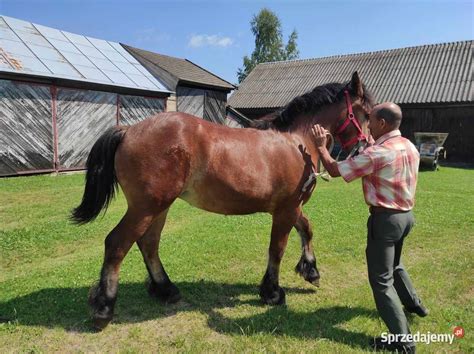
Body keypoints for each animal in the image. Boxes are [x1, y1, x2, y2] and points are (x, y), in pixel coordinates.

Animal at [72, 71, 372, 330]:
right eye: (367, 113)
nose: (364, 147)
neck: (295, 142)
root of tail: (128, 130)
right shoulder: (285, 210)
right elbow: (277, 249)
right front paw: (272, 292)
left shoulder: (291, 207)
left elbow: (307, 230)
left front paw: (310, 270)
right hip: (146, 207)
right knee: (117, 244)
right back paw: (104, 308)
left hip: (159, 207)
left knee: (148, 244)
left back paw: (166, 290)